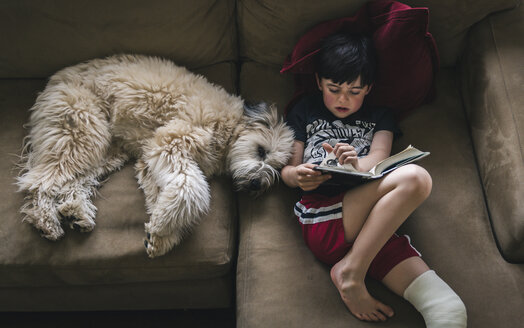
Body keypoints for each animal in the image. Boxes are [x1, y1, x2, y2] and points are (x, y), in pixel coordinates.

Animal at [16, 54, 294, 256]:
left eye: (277, 168)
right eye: (261, 151)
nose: (258, 184)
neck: (229, 129)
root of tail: (53, 80)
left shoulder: (149, 161)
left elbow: (163, 195)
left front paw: (161, 235)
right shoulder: (169, 143)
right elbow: (189, 188)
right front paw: (164, 228)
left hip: (105, 151)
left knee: (71, 183)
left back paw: (76, 213)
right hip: (82, 134)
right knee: (39, 182)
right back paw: (46, 221)